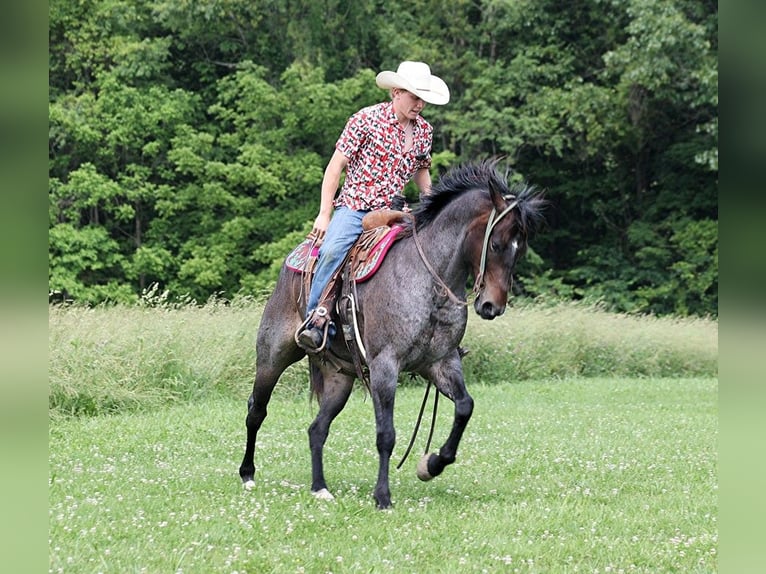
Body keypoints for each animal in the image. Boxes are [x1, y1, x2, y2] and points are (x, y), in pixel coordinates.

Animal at [240, 160, 544, 510]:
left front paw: (432, 464)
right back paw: (247, 474)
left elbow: (465, 406)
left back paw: (320, 487)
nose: (492, 306)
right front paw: (383, 496)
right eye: (495, 244)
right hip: (273, 357)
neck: (429, 280)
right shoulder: (385, 366)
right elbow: (386, 434)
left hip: (339, 378)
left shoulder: (441, 363)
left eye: (520, 250)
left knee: (317, 429)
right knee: (256, 410)